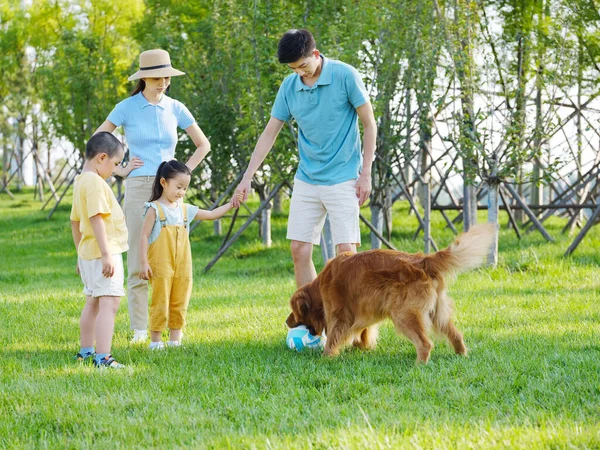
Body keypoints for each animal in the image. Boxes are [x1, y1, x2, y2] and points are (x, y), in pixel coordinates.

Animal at [288, 223, 494, 364]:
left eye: (294, 312)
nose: (286, 321)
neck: (320, 284)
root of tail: (423, 261)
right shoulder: (363, 311)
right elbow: (364, 331)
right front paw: (362, 347)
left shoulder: (339, 314)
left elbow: (333, 336)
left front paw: (326, 356)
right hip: (437, 313)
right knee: (456, 335)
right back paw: (461, 355)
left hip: (404, 314)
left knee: (425, 343)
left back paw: (419, 365)